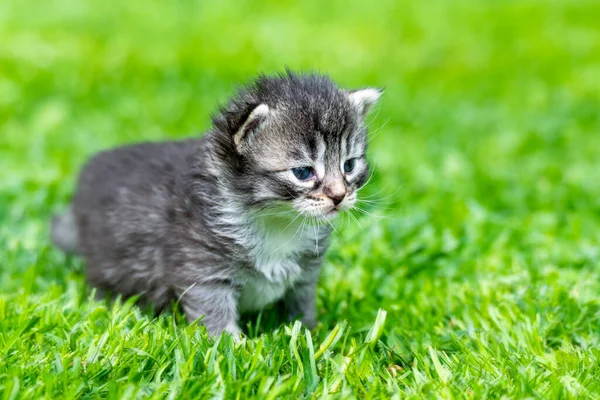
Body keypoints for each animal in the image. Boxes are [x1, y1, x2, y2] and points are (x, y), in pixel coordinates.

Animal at [50, 72, 380, 338]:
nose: (339, 195)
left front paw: (308, 332)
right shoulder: (202, 269)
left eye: (349, 165)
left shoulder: (306, 273)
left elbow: (301, 304)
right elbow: (214, 311)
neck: (276, 222)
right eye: (302, 172)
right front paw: (231, 347)